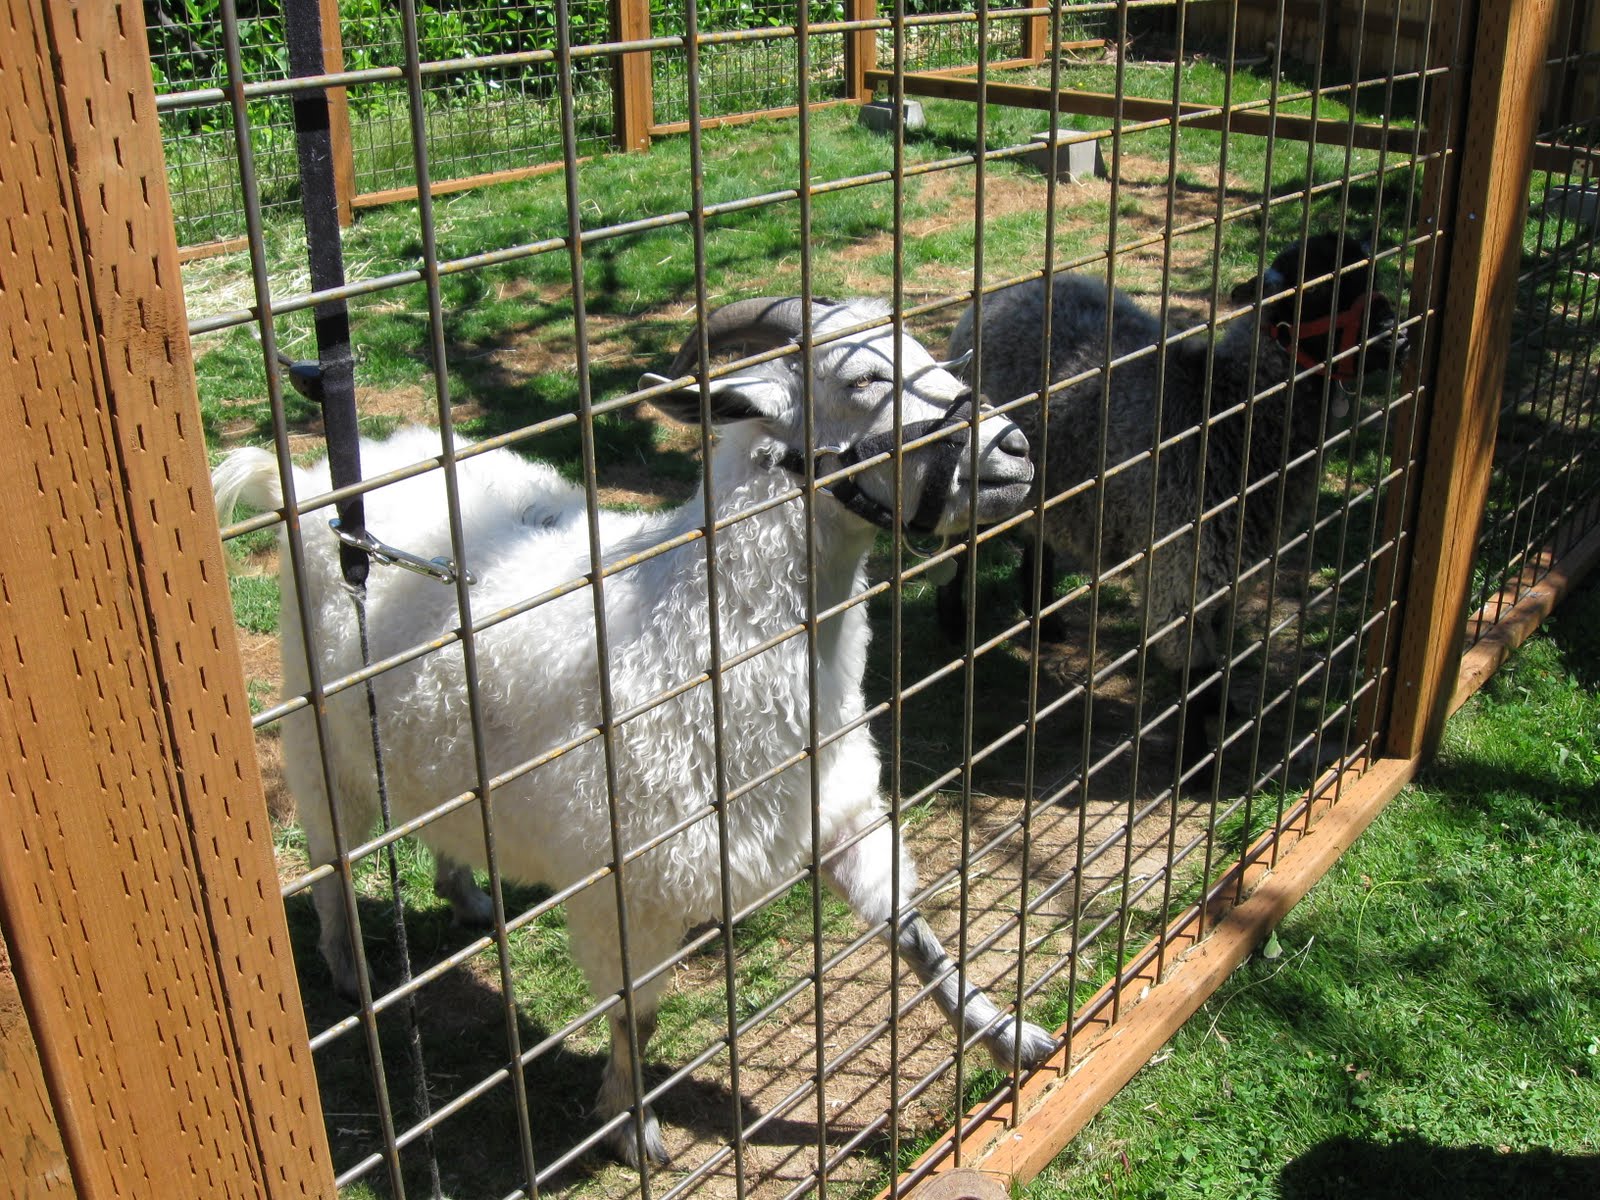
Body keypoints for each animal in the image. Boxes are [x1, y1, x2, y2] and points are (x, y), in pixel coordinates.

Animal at [216, 296, 1062, 1171]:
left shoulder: (839, 817)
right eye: (863, 378)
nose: (1015, 448)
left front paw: (1012, 1037)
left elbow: (916, 938)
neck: (701, 638)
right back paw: (350, 972)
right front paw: (632, 1126)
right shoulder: (626, 886)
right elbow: (636, 1016)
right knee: (329, 859)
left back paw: (467, 894)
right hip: (317, 737)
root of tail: (312, 480)